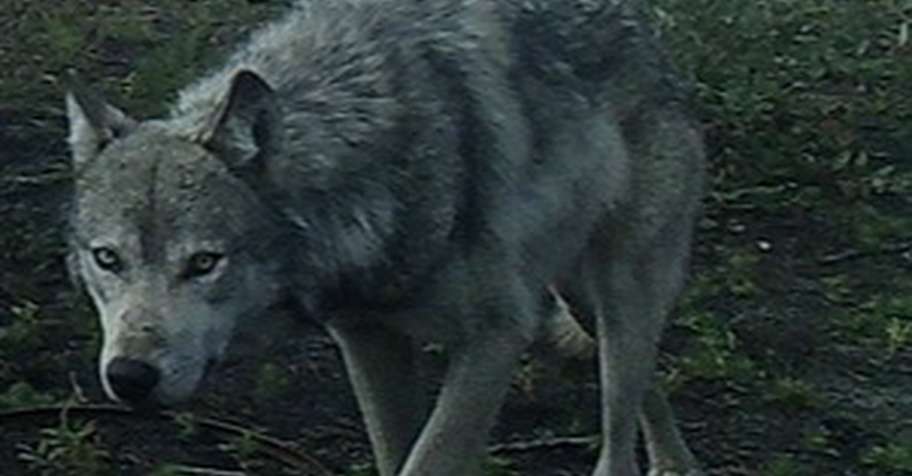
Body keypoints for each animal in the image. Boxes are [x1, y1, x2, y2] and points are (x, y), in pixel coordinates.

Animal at [65, 0, 705, 475]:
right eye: (108, 258)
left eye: (203, 262)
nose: (129, 377)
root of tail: (646, 33)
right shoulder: (368, 339)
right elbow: (398, 454)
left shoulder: (497, 336)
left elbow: (432, 457)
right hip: (582, 300)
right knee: (643, 380)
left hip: (617, 295)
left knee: (619, 426)